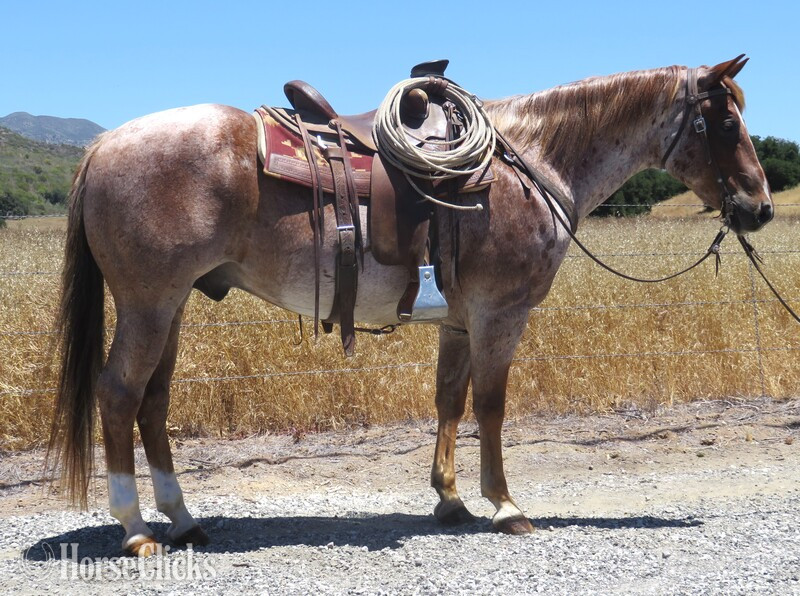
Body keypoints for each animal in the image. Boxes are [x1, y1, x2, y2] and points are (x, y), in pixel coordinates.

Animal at [47, 55, 772, 556]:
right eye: (724, 121)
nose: (760, 207)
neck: (529, 166)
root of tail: (104, 145)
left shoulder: (460, 320)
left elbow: (449, 400)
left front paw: (450, 500)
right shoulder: (500, 315)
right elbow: (491, 406)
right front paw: (504, 505)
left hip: (171, 307)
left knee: (154, 400)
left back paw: (182, 519)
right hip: (148, 303)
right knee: (119, 394)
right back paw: (137, 529)